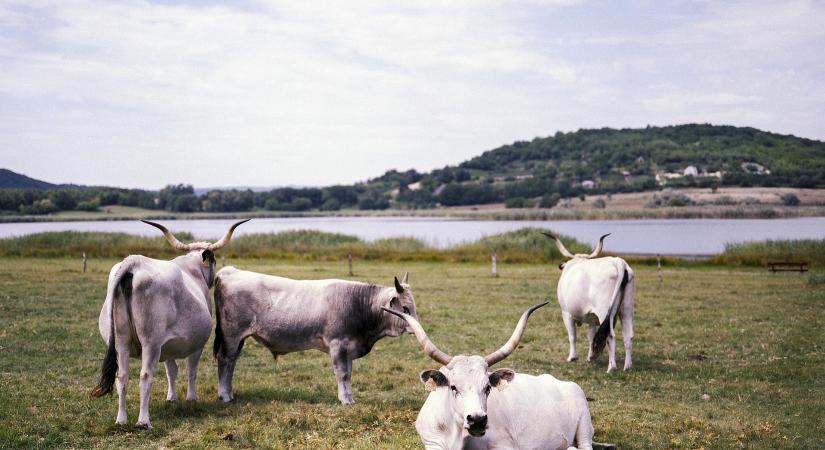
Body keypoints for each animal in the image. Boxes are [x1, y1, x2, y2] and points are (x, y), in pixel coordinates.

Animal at [92, 220, 248, 428]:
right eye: (214, 260)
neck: (192, 269)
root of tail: (134, 263)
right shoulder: (197, 344)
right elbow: (191, 370)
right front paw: (191, 398)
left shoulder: (166, 347)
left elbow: (171, 370)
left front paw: (171, 398)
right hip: (150, 343)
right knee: (145, 376)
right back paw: (143, 422)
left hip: (121, 341)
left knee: (122, 376)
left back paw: (121, 420)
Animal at [212, 268, 418, 404]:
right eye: (405, 308)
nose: (417, 328)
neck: (360, 304)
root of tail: (229, 271)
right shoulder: (338, 345)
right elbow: (342, 374)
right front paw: (345, 400)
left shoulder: (348, 348)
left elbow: (349, 374)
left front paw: (350, 398)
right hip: (231, 335)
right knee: (225, 360)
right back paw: (225, 396)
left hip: (238, 339)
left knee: (232, 362)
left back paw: (229, 393)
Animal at [540, 232, 636, 372]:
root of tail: (618, 262)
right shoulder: (592, 318)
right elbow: (591, 337)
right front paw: (590, 357)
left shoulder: (566, 313)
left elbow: (572, 336)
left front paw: (572, 357)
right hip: (626, 310)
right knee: (628, 336)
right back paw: (627, 366)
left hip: (604, 312)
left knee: (609, 335)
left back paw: (611, 367)